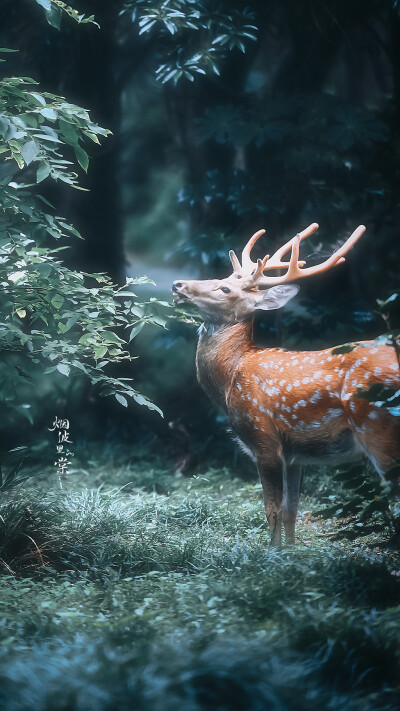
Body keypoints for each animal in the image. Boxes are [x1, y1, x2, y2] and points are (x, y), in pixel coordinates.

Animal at [172, 222, 400, 544]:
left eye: (225, 288)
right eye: (219, 278)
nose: (177, 284)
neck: (231, 377)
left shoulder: (264, 438)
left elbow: (272, 510)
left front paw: (271, 554)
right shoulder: (296, 455)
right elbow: (292, 510)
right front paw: (289, 554)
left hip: (378, 425)